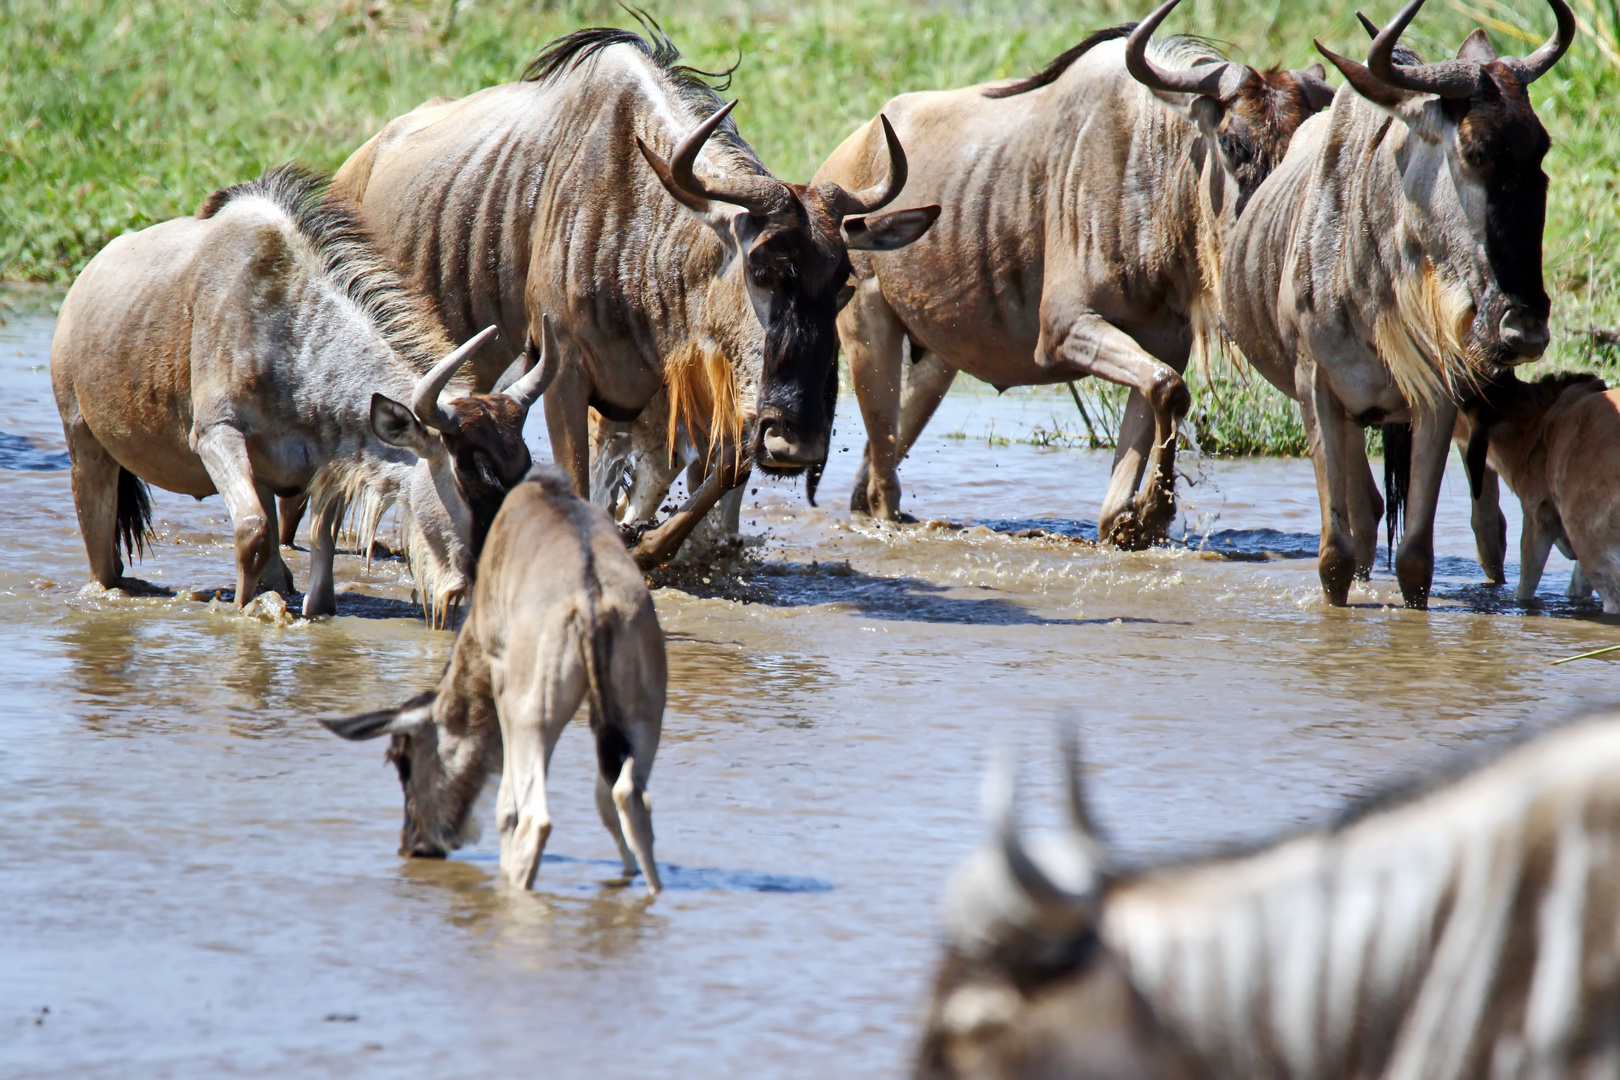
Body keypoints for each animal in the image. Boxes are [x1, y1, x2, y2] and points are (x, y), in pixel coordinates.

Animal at [322, 466, 664, 893]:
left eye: (403, 761)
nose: (413, 845)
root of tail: (593, 604)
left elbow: (507, 811)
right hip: (641, 718)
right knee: (626, 797)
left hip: (532, 719)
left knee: (534, 819)